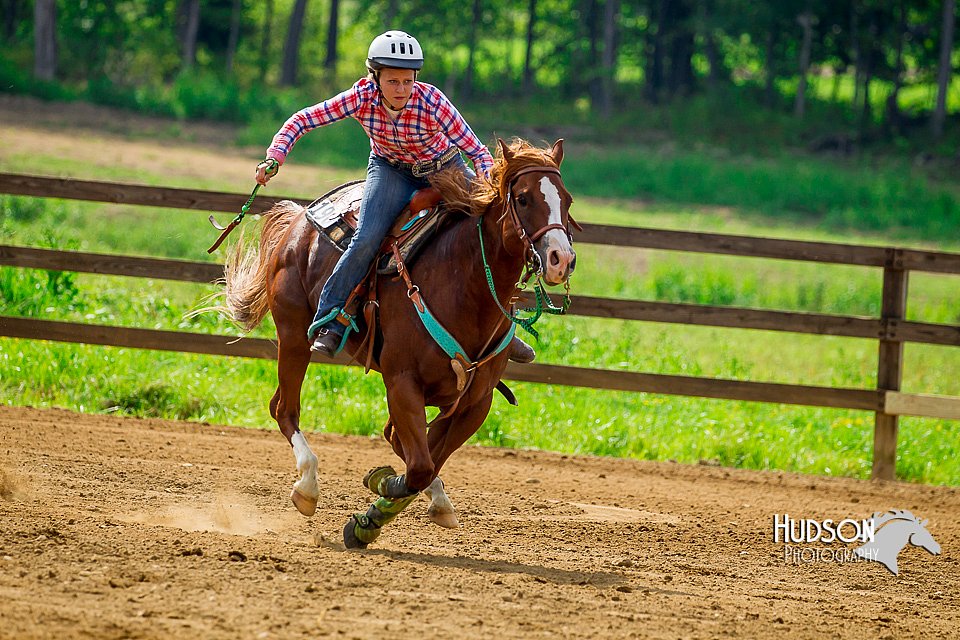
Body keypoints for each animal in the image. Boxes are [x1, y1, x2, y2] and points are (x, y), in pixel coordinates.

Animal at [221, 138, 572, 548]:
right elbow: (418, 467)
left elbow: (427, 460)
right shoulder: (403, 383)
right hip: (293, 336)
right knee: (284, 409)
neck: (463, 284)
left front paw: (381, 511)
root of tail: (299, 219)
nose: (561, 259)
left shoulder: (475, 402)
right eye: (523, 198)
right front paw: (378, 495)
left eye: (566, 199)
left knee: (391, 436)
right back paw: (307, 488)